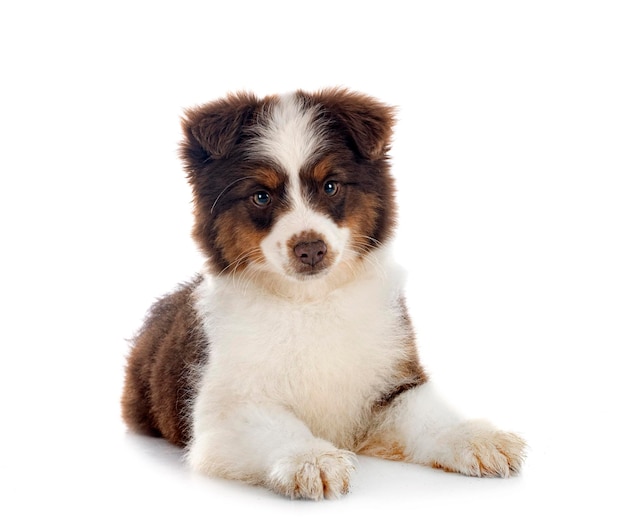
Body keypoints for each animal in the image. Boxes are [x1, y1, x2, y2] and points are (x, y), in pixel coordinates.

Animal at [120, 88, 520, 498]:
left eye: (330, 186)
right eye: (261, 196)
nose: (310, 249)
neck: (309, 301)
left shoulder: (389, 382)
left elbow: (428, 414)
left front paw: (476, 437)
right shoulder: (226, 407)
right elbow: (278, 426)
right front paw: (311, 459)